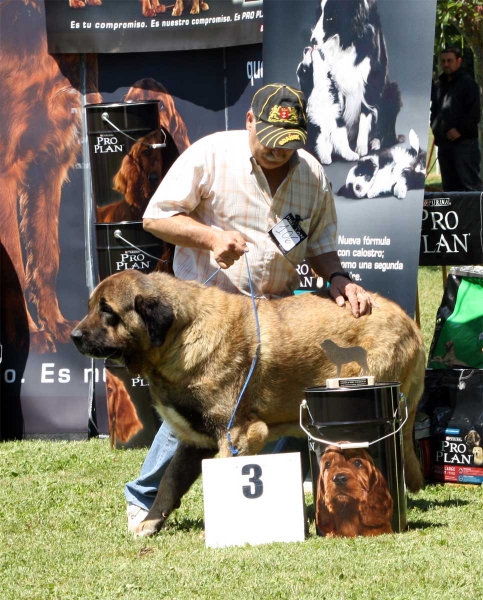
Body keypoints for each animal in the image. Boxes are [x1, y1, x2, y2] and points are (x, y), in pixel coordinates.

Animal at [70, 270, 426, 536]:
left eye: (107, 310)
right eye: (91, 306)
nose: (74, 336)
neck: (181, 337)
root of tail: (410, 322)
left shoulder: (239, 434)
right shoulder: (194, 441)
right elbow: (169, 483)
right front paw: (149, 523)